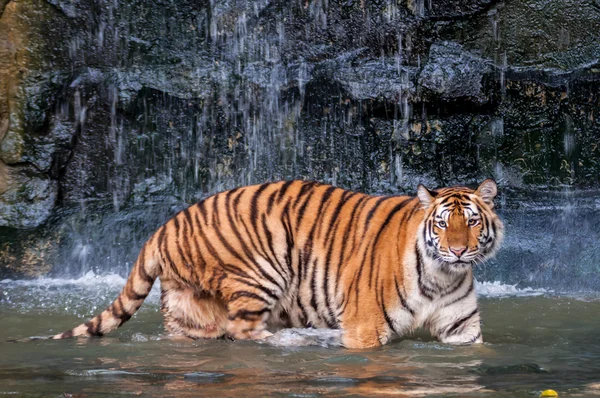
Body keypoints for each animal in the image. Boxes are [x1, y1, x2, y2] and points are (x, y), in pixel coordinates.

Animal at [50, 179, 502, 346]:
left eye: (471, 222)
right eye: (442, 224)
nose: (458, 251)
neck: (442, 275)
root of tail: (165, 226)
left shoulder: (462, 328)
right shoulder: (365, 326)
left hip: (187, 309)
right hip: (261, 271)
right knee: (244, 330)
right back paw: (290, 342)